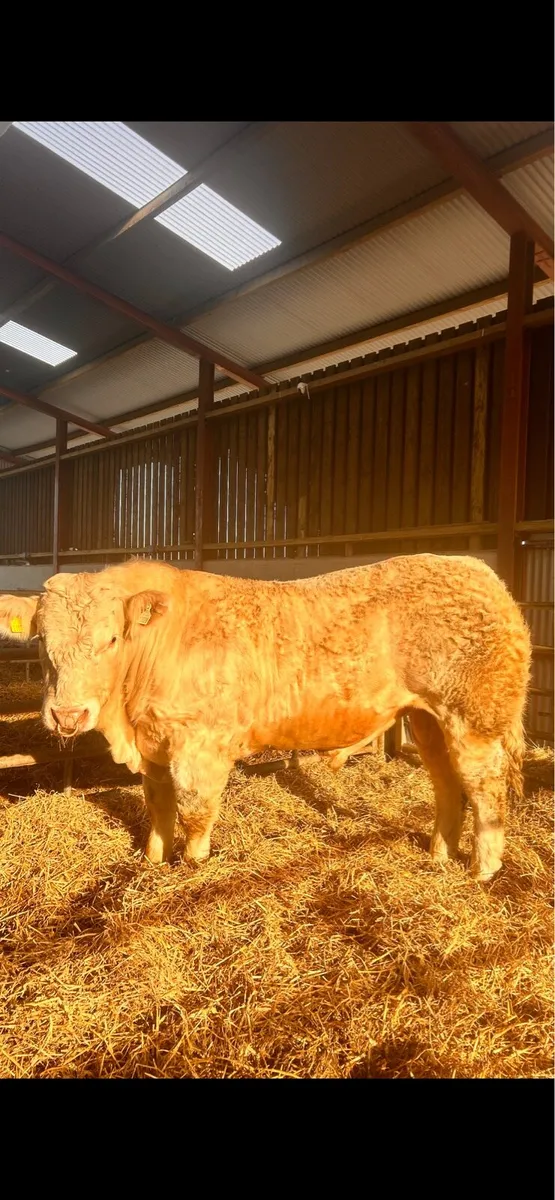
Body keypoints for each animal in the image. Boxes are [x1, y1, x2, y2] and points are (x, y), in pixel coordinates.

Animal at [0, 553, 531, 881]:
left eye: (111, 639)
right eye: (42, 641)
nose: (68, 714)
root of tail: (482, 574)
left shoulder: (200, 746)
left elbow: (194, 810)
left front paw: (193, 866)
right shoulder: (156, 745)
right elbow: (158, 805)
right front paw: (152, 861)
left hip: (474, 719)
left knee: (485, 787)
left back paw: (482, 869)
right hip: (427, 718)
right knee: (446, 783)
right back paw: (439, 855)